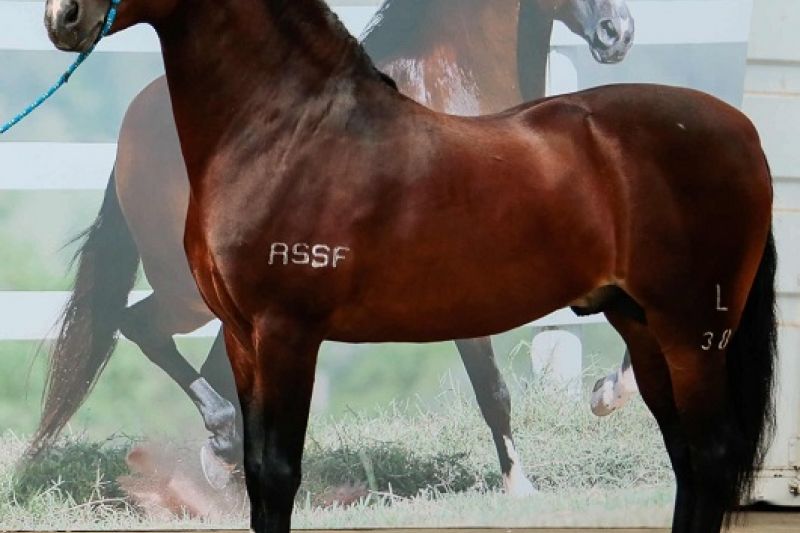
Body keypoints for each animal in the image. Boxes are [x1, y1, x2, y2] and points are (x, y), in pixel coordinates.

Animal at [45, 0, 777, 531]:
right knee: (141, 326)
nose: (615, 32)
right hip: (191, 296)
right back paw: (216, 448)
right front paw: (522, 481)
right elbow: (490, 388)